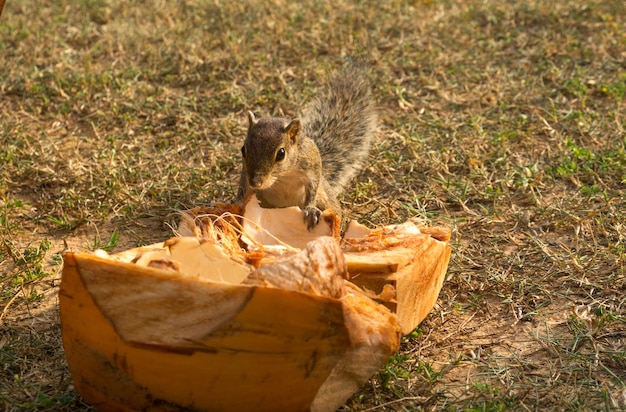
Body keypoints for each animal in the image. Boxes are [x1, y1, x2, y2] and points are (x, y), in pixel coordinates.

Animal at [236, 66, 376, 230]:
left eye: (281, 153)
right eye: (243, 149)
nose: (256, 183)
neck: (283, 175)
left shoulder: (312, 163)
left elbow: (312, 189)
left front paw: (310, 210)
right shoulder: (246, 173)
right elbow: (243, 186)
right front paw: (237, 204)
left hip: (326, 200)